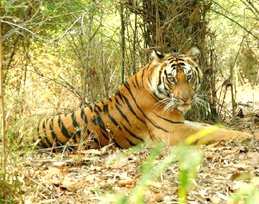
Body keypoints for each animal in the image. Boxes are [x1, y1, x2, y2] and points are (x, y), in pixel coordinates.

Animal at [35, 47, 254, 150]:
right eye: (172, 79)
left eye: (189, 77)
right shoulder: (175, 130)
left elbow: (210, 127)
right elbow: (213, 133)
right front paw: (247, 136)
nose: (185, 99)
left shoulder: (180, 122)